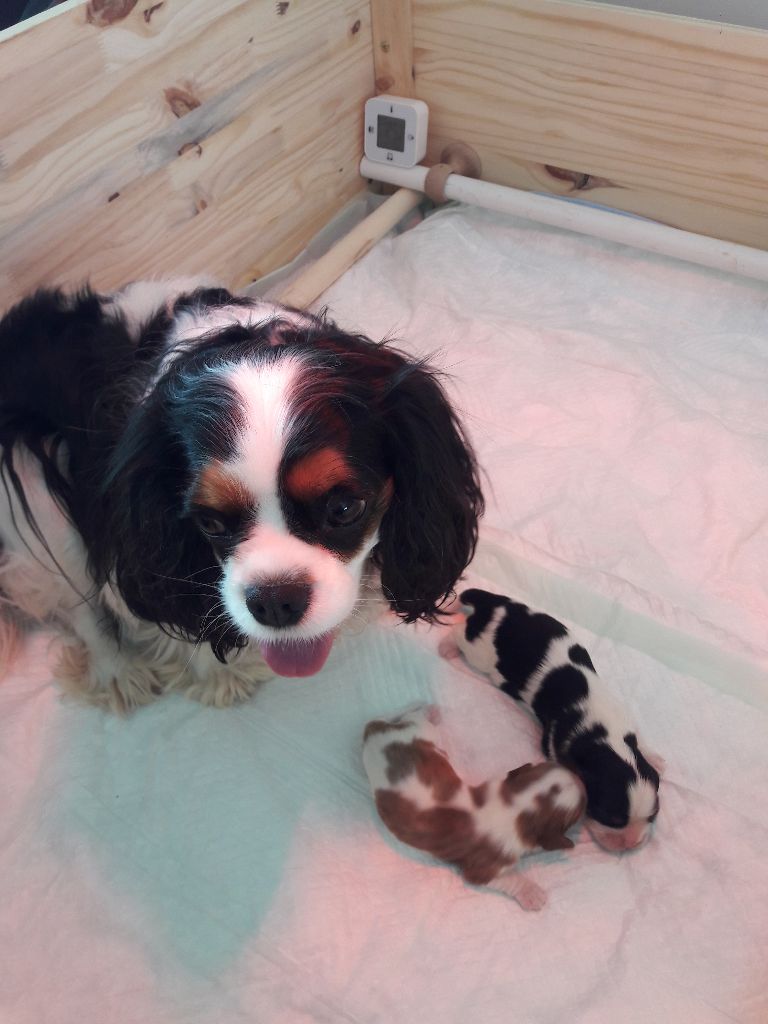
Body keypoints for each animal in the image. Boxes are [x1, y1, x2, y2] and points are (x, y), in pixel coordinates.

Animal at [0, 280, 483, 712]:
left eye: (345, 508)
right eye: (210, 523)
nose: (274, 602)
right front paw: (216, 675)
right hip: (29, 478)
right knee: (73, 594)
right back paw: (115, 671)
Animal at [364, 704, 585, 913]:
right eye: (580, 808)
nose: (582, 779)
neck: (514, 805)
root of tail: (372, 731)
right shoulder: (483, 867)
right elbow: (508, 879)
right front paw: (531, 893)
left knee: (409, 717)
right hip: (423, 732)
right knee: (416, 718)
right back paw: (431, 712)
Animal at [442, 589, 663, 851]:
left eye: (652, 815)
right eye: (610, 817)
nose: (632, 844)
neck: (604, 737)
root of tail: (498, 605)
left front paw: (654, 758)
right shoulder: (555, 740)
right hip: (479, 650)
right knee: (460, 632)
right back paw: (447, 645)